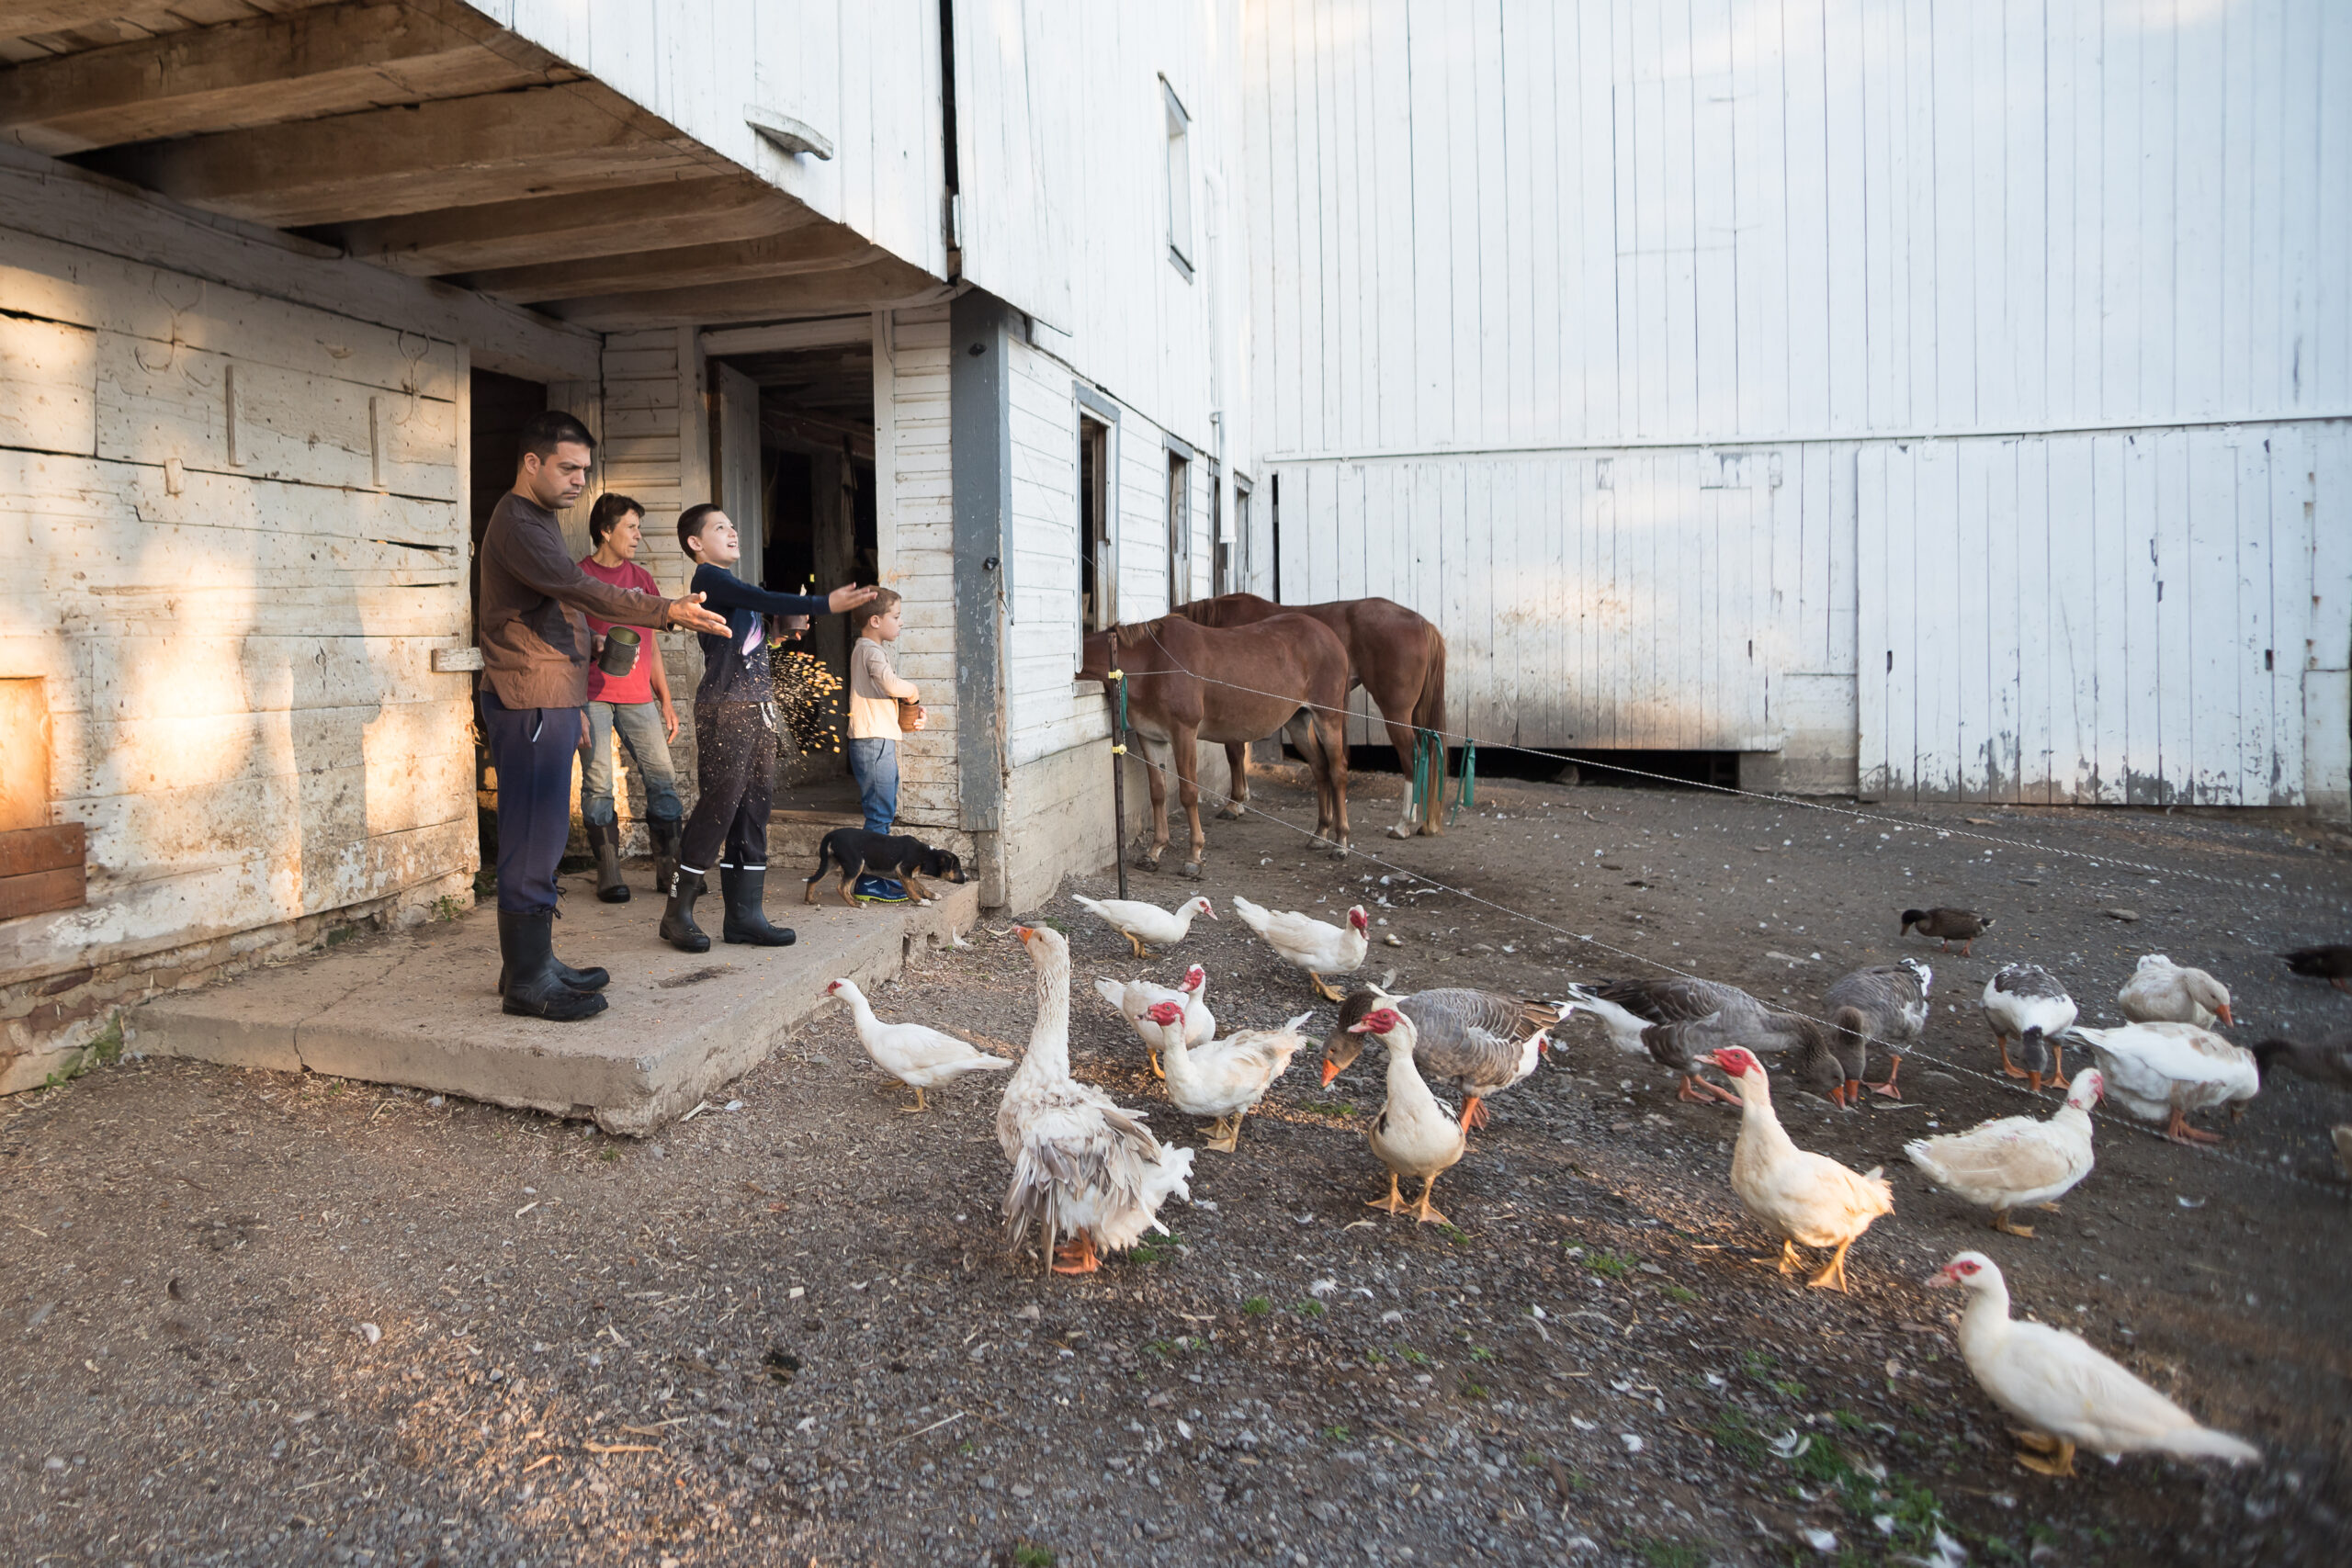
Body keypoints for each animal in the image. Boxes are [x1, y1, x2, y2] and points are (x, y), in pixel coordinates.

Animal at [804, 829, 967, 907]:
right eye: (957, 868)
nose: (967, 878)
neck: (926, 855)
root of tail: (831, 835)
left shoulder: (910, 874)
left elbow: (921, 886)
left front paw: (932, 895)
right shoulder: (903, 870)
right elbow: (912, 890)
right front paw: (921, 901)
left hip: (830, 863)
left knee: (812, 879)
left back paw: (809, 900)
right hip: (855, 864)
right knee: (841, 887)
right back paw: (856, 904)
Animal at [1078, 614, 1353, 877]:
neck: (1151, 664)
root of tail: (1331, 637)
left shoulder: (1184, 734)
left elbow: (1189, 793)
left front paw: (1194, 857)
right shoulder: (1151, 738)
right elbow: (1157, 793)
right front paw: (1154, 852)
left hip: (1328, 717)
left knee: (1337, 771)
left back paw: (1341, 843)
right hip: (1298, 720)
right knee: (1319, 767)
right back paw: (1320, 833)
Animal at [1173, 592, 1448, 838]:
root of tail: (1419, 622)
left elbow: (1234, 753)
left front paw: (1235, 804)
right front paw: (1241, 800)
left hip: (1395, 711)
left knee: (1412, 756)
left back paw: (1403, 824)